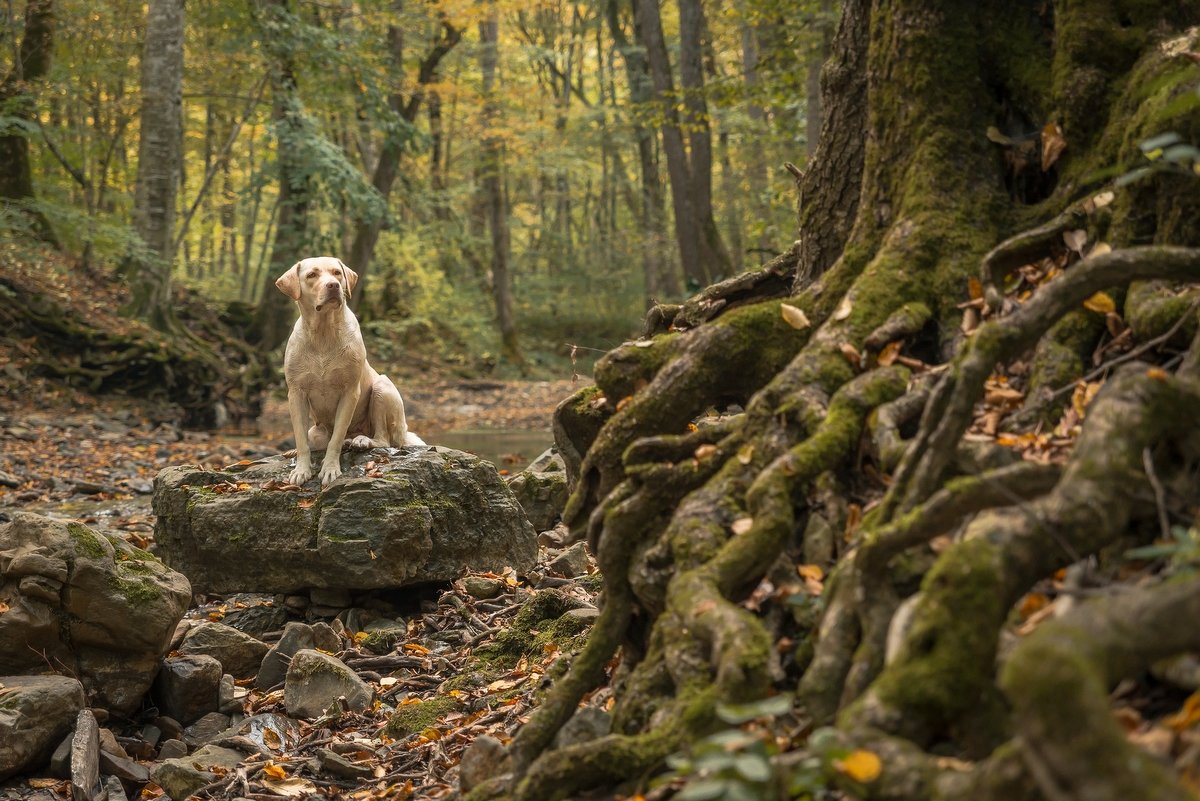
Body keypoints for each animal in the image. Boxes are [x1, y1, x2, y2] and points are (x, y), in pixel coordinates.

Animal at [274, 256, 424, 484]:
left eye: (337, 273)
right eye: (312, 275)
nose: (333, 286)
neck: (323, 333)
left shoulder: (349, 392)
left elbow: (336, 438)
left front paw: (330, 469)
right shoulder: (296, 393)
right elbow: (301, 439)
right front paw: (301, 470)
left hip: (382, 389)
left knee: (383, 439)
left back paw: (362, 440)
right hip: (315, 430)